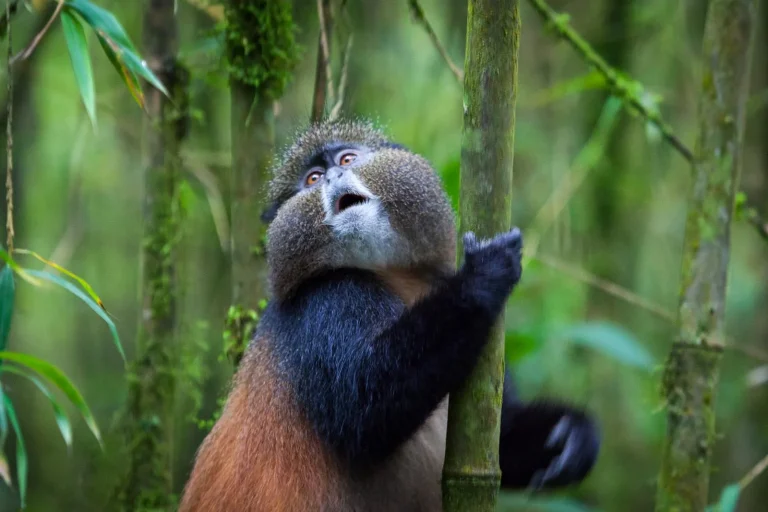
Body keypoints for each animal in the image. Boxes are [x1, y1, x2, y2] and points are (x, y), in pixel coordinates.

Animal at [178, 119, 599, 512]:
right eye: (312, 179)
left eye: (347, 160)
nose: (331, 177)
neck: (394, 277)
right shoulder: (325, 302)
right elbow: (364, 411)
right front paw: (482, 276)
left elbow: (501, 446)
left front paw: (570, 436)